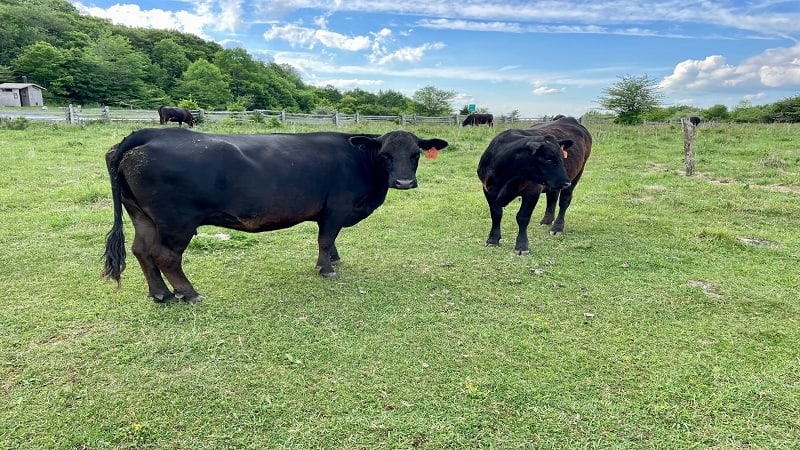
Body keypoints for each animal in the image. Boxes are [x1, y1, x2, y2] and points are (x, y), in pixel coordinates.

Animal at [102, 127, 446, 302]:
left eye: (415, 154)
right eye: (385, 155)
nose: (404, 182)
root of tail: (148, 133)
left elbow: (330, 241)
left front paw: (334, 260)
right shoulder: (336, 208)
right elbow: (325, 239)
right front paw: (326, 268)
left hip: (142, 216)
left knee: (141, 250)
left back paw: (160, 294)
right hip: (177, 222)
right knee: (165, 256)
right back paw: (188, 293)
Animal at [478, 116, 592, 255]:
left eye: (562, 157)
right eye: (549, 159)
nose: (566, 182)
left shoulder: (532, 191)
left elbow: (522, 217)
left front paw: (522, 246)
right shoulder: (487, 189)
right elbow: (496, 214)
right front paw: (493, 240)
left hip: (577, 174)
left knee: (564, 201)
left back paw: (557, 227)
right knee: (552, 198)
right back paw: (546, 221)